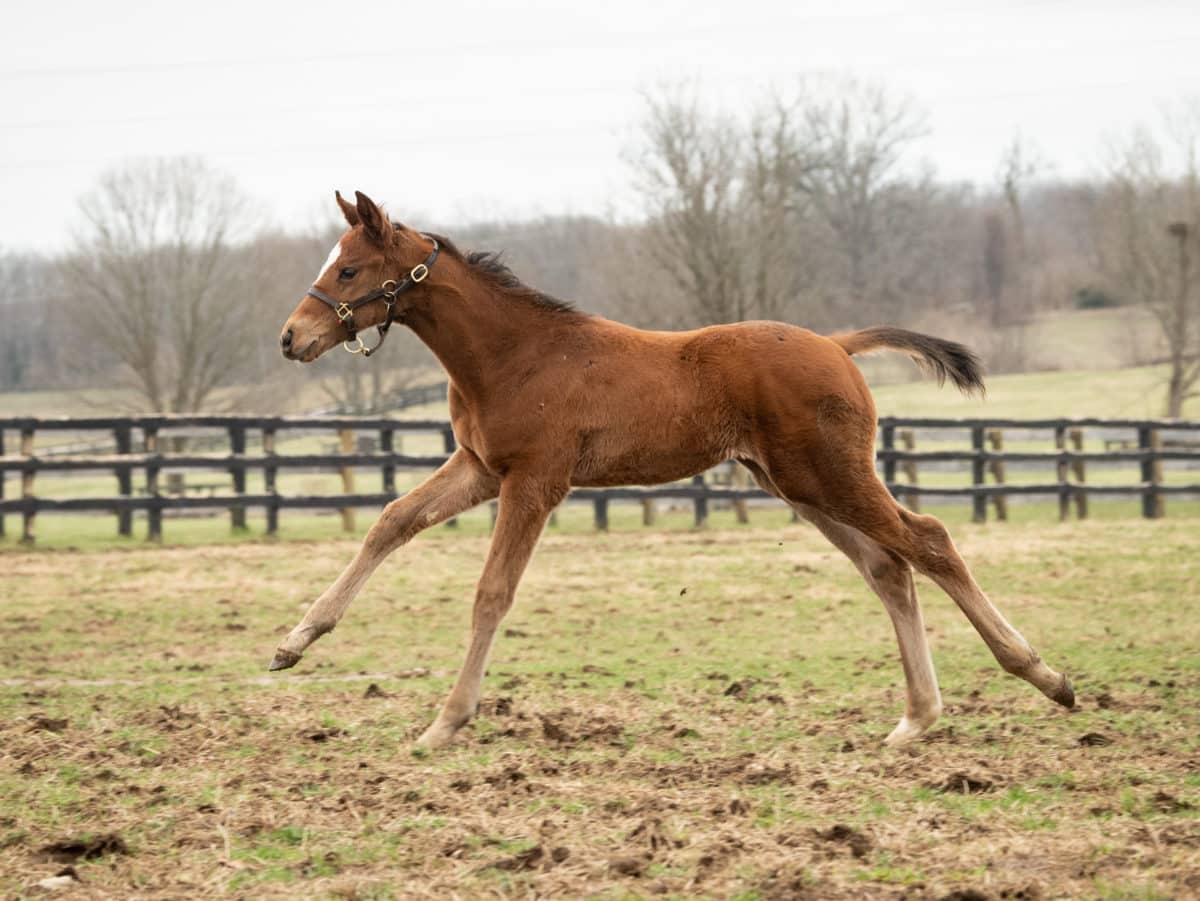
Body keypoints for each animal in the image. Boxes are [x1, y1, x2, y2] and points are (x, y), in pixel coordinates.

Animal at [276, 190, 1075, 748]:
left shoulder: (534, 480)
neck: (513, 355)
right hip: (798, 484)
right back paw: (916, 718)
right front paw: (295, 640)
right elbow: (389, 522)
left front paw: (446, 721)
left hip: (831, 476)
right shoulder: (479, 467)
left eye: (348, 268)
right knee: (889, 567)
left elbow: (492, 592)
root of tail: (837, 344)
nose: (291, 338)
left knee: (929, 539)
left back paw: (1045, 677)